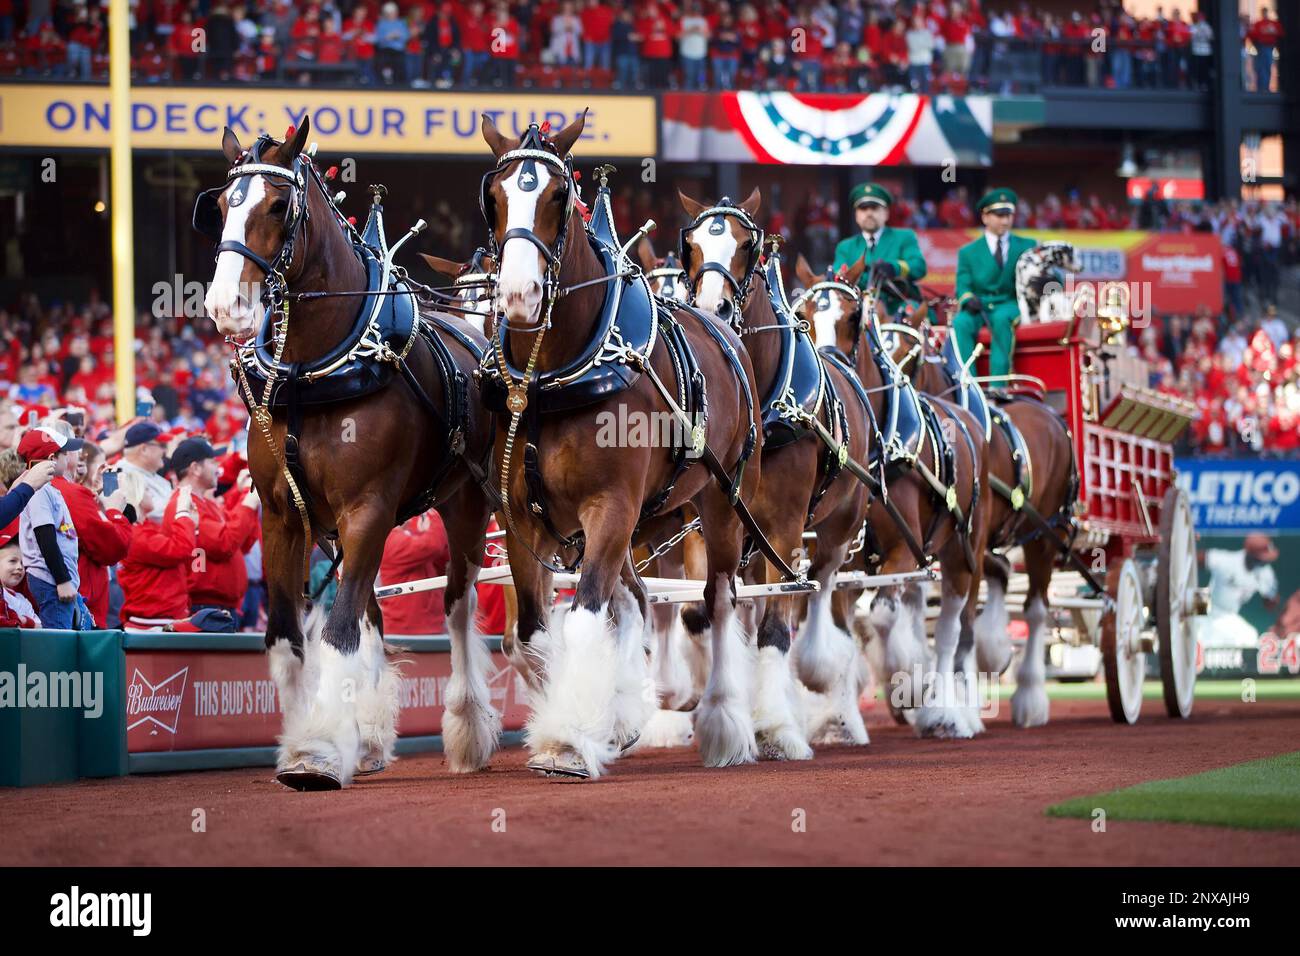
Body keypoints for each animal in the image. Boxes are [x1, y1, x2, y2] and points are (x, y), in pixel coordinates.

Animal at [197, 121, 496, 790]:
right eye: (223, 205)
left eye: (278, 206)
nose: (226, 304)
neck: (313, 372)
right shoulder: (283, 514)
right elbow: (289, 638)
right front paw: (311, 741)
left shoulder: (368, 509)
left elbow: (336, 634)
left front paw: (316, 753)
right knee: (376, 616)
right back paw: (373, 735)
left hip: (466, 507)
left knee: (459, 606)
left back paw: (468, 728)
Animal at [486, 115, 769, 780]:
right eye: (495, 197)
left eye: (557, 198)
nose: (517, 293)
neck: (556, 376)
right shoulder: (523, 522)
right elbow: (532, 637)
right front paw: (578, 725)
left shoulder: (610, 507)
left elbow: (586, 622)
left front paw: (568, 742)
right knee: (637, 600)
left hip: (721, 502)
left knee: (718, 604)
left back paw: (725, 726)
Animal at [681, 188, 873, 754]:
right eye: (692, 245)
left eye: (748, 246)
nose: (714, 308)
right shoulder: (706, 521)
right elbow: (701, 611)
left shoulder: (785, 526)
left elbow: (775, 625)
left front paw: (775, 728)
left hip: (839, 525)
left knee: (824, 590)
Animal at [785, 257, 987, 738]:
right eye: (804, 314)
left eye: (853, 319)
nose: (832, 362)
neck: (882, 450)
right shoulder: (847, 556)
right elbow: (841, 626)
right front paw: (837, 715)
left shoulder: (902, 550)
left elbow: (879, 618)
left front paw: (906, 678)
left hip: (965, 553)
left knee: (952, 630)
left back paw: (950, 712)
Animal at [883, 299, 1076, 723]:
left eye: (911, 354)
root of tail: (1051, 415)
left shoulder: (968, 536)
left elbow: (961, 617)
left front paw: (955, 697)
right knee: (1002, 576)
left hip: (1043, 536)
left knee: (1036, 609)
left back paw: (1030, 698)